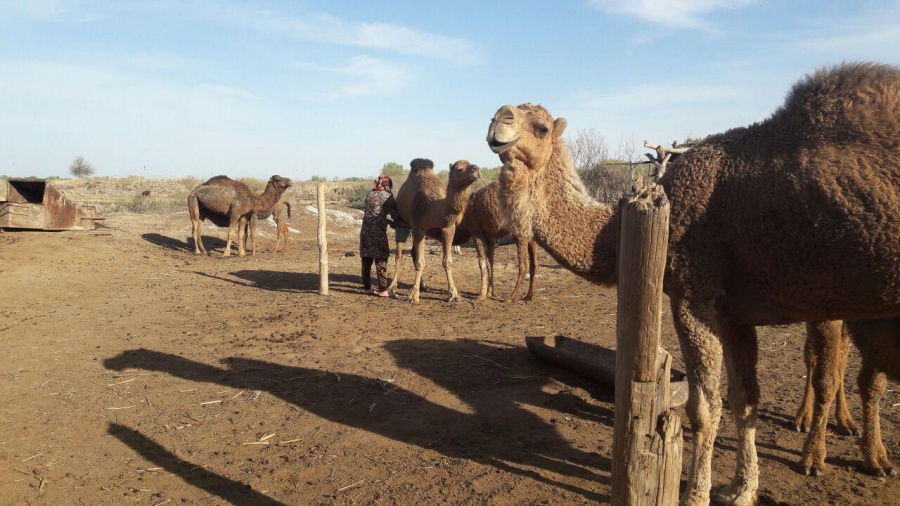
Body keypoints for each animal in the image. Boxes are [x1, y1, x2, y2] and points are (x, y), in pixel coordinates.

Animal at [396, 158, 482, 302]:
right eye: (459, 169)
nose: (476, 169)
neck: (433, 207)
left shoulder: (448, 228)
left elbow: (447, 262)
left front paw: (454, 294)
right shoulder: (418, 227)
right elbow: (420, 262)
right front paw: (413, 295)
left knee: (413, 252)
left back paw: (424, 286)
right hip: (403, 223)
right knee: (401, 253)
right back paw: (393, 287)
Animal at [488, 62, 900, 506]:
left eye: (542, 126)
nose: (499, 119)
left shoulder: (692, 295)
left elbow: (704, 409)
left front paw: (696, 494)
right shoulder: (735, 312)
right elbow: (744, 399)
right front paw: (740, 489)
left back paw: (829, 458)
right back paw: (871, 457)